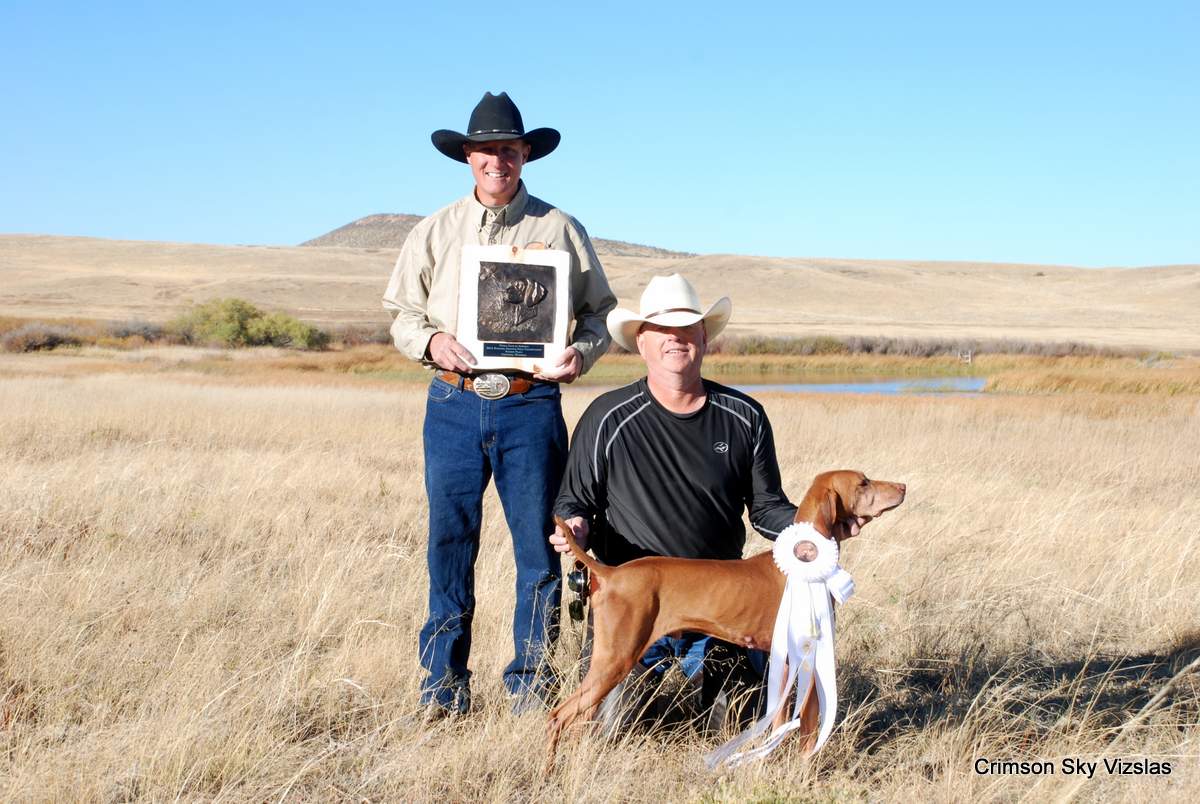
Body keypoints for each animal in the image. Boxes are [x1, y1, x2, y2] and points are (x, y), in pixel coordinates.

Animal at [549, 472, 902, 763]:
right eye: (863, 482)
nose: (902, 487)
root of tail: (610, 573)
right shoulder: (807, 657)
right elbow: (809, 729)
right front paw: (804, 770)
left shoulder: (785, 661)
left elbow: (779, 720)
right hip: (615, 660)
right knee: (558, 715)